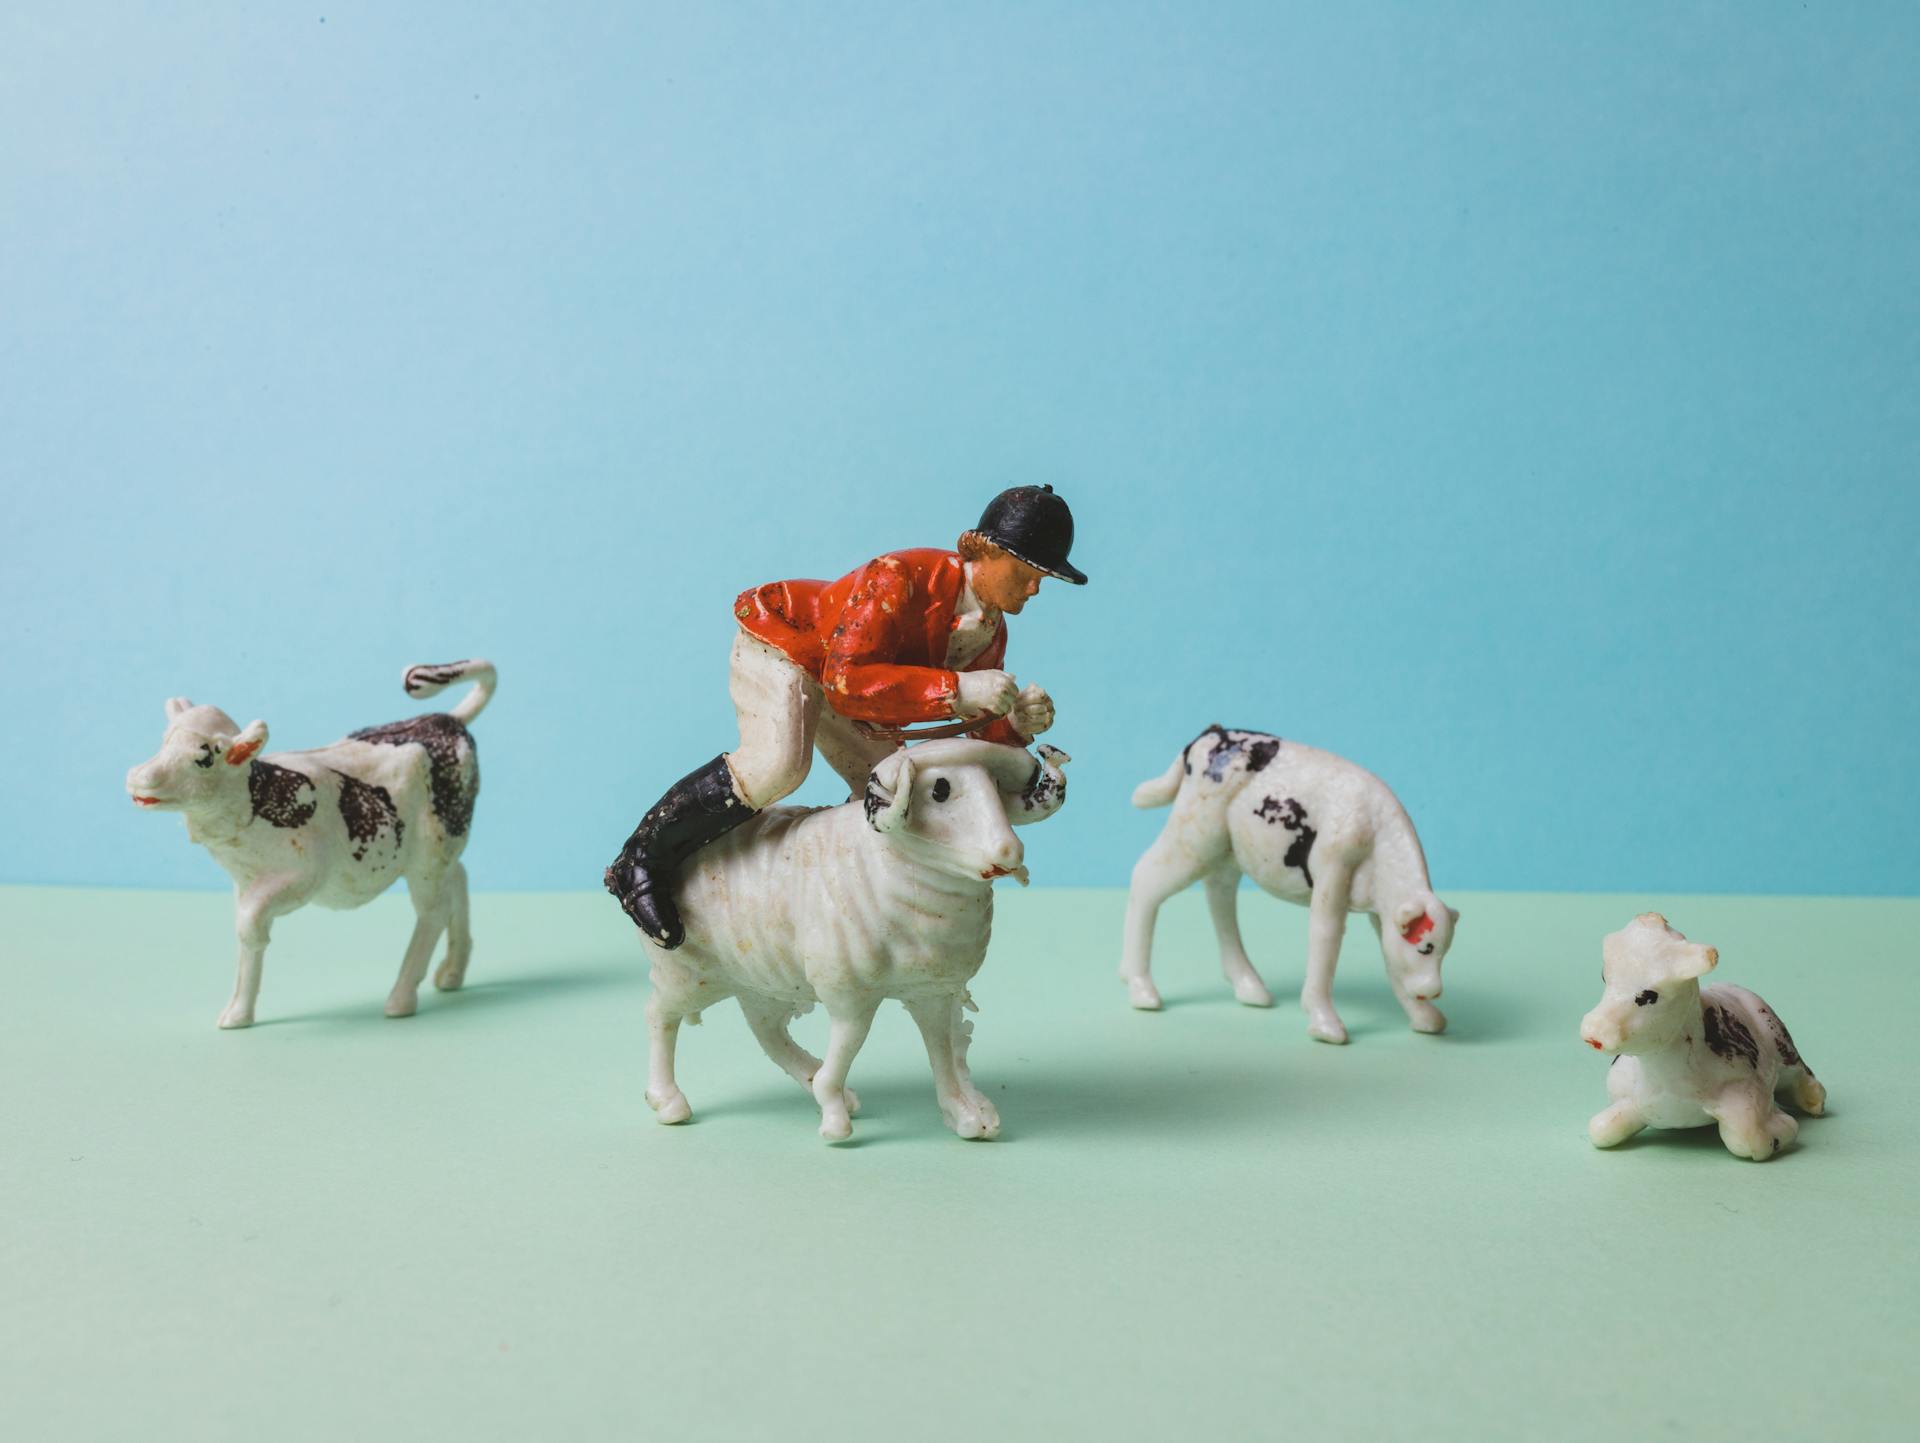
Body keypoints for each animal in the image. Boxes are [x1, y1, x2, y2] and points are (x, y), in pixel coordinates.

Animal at [126, 660, 495, 1028]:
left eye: (204, 758)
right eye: (164, 741)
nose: (138, 777)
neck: (253, 799)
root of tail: (448, 720)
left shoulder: (304, 875)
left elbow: (249, 923)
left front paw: (239, 1011)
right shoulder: (245, 879)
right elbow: (246, 934)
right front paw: (238, 1013)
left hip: (428, 857)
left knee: (433, 912)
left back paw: (401, 998)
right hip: (444, 847)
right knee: (459, 878)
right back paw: (452, 973)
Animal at [1121, 725, 1451, 1043]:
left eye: (1444, 951)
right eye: (1425, 947)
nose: (1433, 990)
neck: (1376, 830)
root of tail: (1210, 733)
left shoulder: (1380, 906)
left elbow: (1390, 957)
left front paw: (1424, 1017)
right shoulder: (1333, 871)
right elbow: (1326, 938)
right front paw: (1324, 1022)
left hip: (1226, 851)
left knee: (1219, 893)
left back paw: (1247, 985)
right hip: (1194, 838)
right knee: (1145, 877)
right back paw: (1141, 988)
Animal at [1582, 913, 1820, 1159]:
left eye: (1650, 995)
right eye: (1604, 977)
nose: (1594, 1029)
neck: (1663, 1078)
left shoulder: (1749, 1092)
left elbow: (1747, 1139)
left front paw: (1784, 1126)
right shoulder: (1628, 1100)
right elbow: (1599, 1128)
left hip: (1782, 1044)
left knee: (1803, 1076)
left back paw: (1813, 1102)